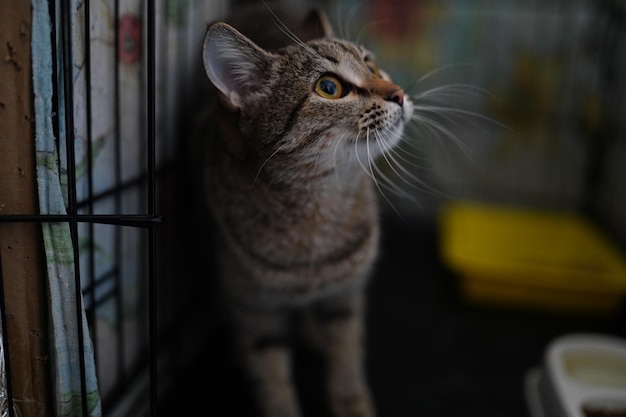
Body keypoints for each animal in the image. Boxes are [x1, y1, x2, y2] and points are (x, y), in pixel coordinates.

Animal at [193, 1, 412, 414]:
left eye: (372, 66)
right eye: (329, 87)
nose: (400, 93)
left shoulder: (346, 295)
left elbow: (346, 357)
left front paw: (352, 402)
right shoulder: (255, 308)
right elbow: (272, 379)